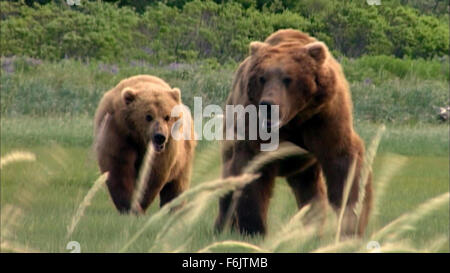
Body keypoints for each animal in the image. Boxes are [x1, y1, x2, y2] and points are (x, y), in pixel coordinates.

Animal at [94, 74, 196, 212]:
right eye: (148, 116)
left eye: (167, 117)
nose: (159, 137)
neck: (140, 138)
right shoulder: (119, 133)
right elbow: (119, 168)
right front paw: (128, 206)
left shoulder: (166, 148)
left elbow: (152, 173)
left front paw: (140, 203)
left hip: (183, 157)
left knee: (177, 185)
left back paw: (174, 208)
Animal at [215, 29, 372, 236]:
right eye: (262, 78)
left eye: (288, 78)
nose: (268, 104)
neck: (293, 119)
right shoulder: (255, 126)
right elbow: (253, 170)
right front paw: (254, 229)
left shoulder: (324, 118)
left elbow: (343, 163)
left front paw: (351, 224)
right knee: (228, 180)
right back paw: (222, 227)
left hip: (304, 164)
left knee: (310, 189)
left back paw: (312, 228)